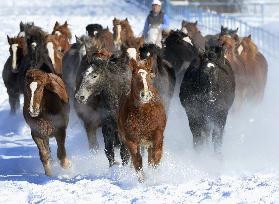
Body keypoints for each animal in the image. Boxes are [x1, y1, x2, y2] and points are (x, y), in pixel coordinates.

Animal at [117, 53, 166, 182]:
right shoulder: (131, 140)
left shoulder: (157, 134)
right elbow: (137, 161)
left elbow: (156, 156)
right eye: (135, 77)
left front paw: (155, 174)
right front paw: (142, 180)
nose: (145, 94)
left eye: (149, 75)